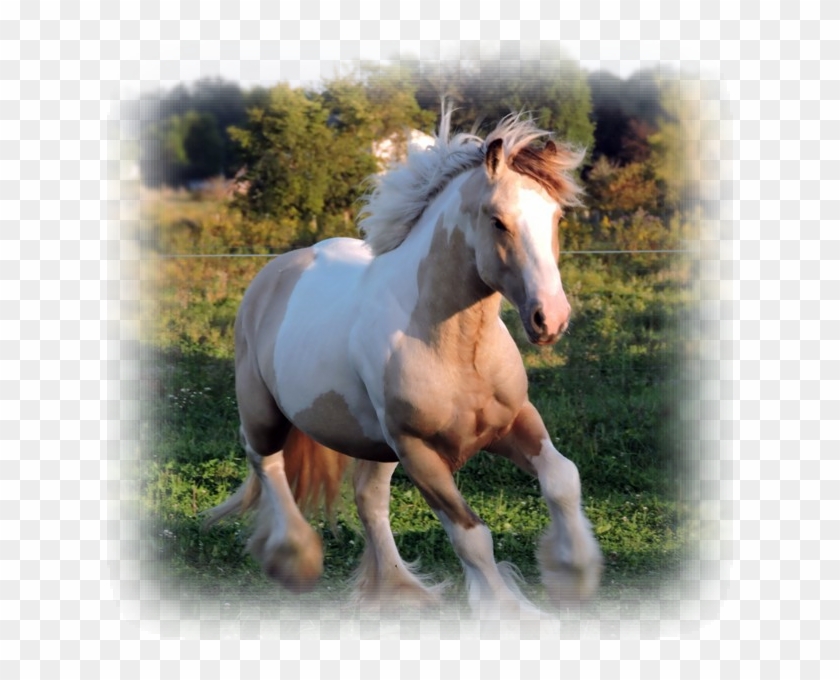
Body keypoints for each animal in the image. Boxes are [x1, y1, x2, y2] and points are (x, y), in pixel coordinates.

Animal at [204, 109, 603, 616]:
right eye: (498, 221)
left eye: (556, 216)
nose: (549, 318)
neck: (456, 347)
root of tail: (275, 271)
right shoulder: (419, 452)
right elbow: (472, 537)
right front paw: (511, 613)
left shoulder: (512, 422)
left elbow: (562, 478)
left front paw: (574, 576)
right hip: (266, 413)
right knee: (266, 461)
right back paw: (295, 559)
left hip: (376, 446)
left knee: (369, 499)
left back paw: (396, 590)